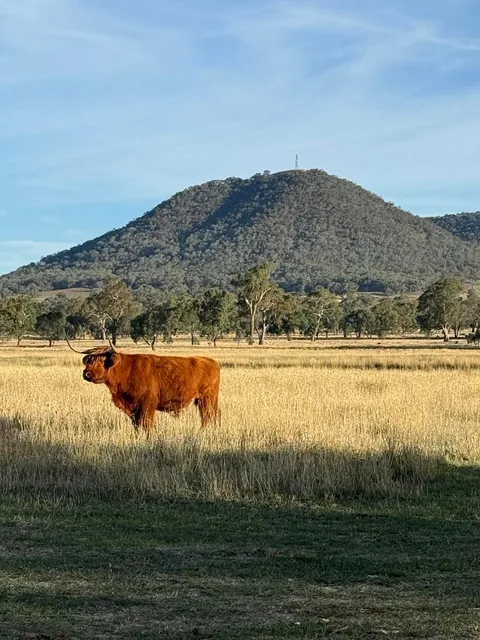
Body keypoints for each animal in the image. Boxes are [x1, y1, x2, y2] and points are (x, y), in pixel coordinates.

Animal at [66, 337, 221, 434]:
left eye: (100, 360)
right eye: (89, 360)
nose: (86, 373)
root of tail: (210, 361)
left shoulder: (148, 404)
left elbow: (147, 424)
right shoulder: (133, 408)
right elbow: (137, 425)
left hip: (207, 399)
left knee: (208, 416)